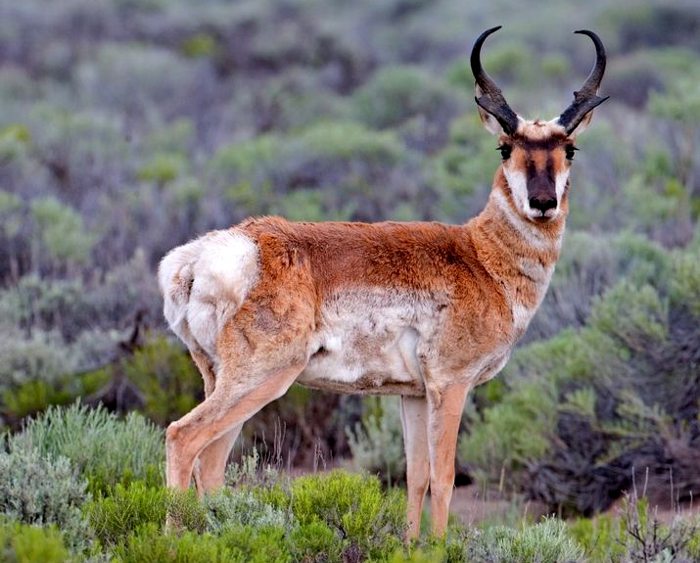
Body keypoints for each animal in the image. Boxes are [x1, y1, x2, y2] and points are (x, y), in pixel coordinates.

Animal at [158, 26, 608, 538]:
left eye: (568, 149)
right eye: (505, 147)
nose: (542, 203)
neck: (479, 256)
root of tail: (210, 254)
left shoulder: (412, 395)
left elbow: (416, 477)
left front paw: (411, 545)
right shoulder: (451, 385)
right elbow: (445, 478)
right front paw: (441, 546)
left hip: (222, 380)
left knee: (210, 463)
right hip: (261, 378)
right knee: (183, 438)